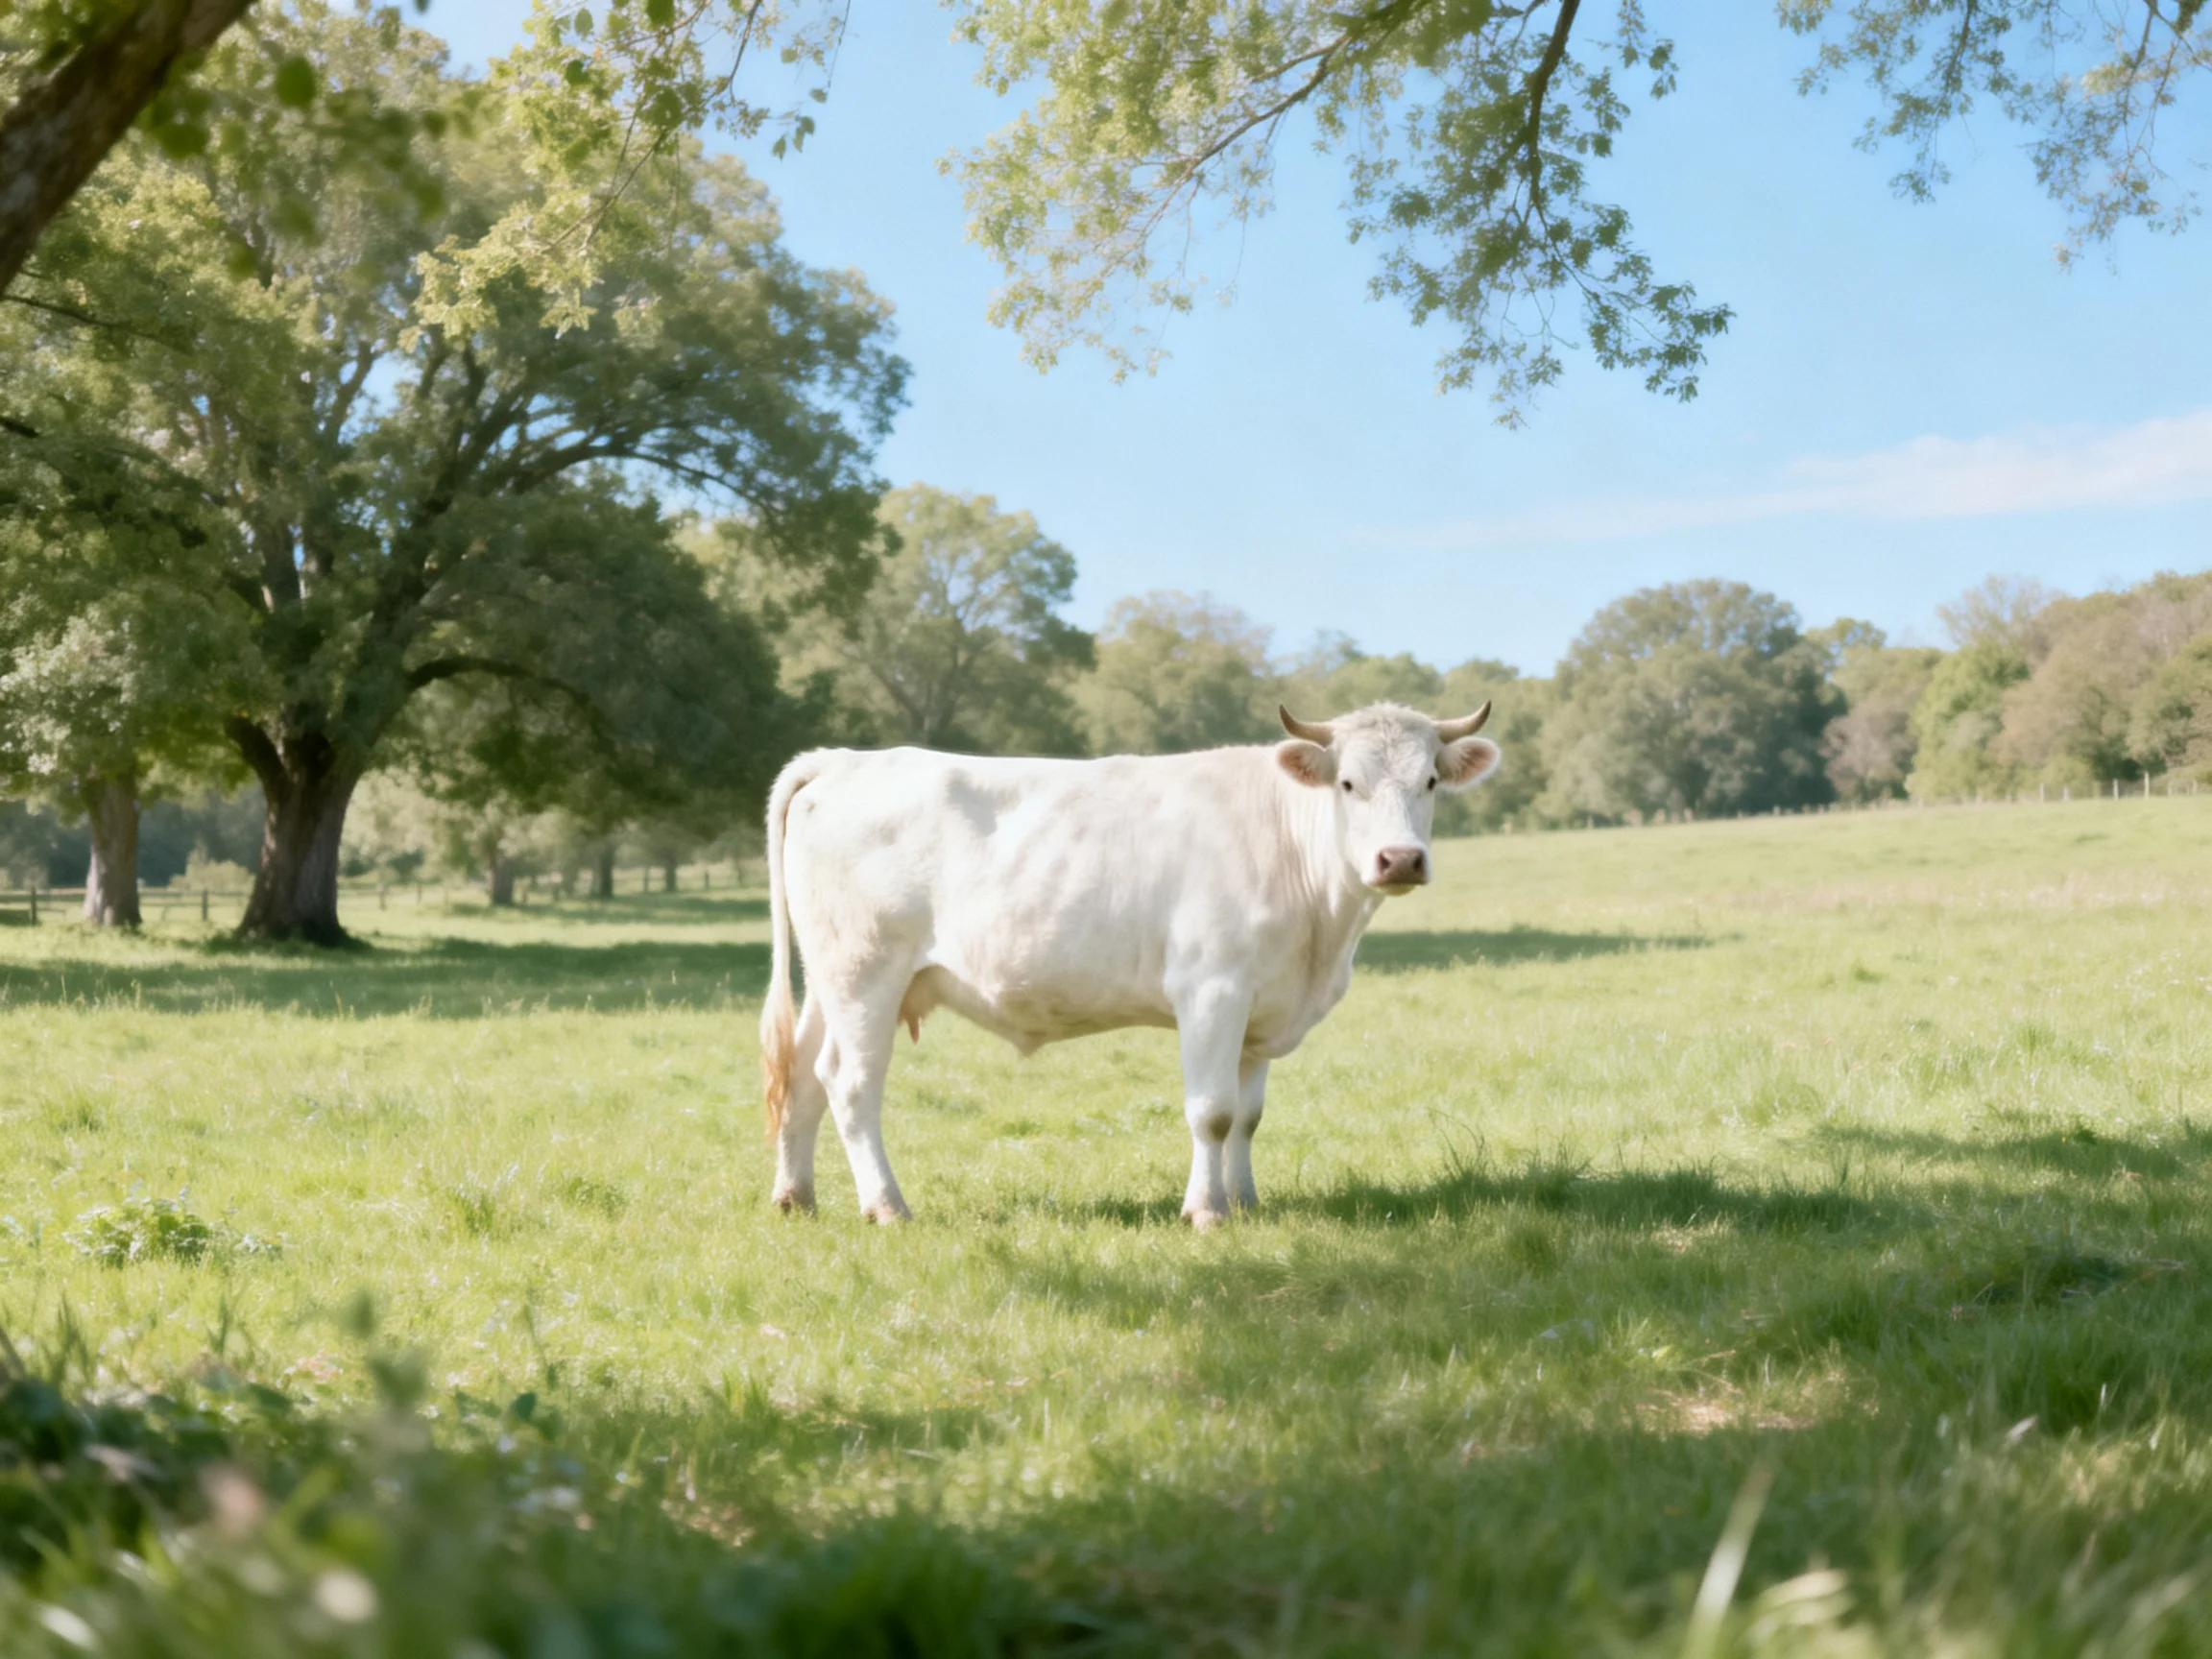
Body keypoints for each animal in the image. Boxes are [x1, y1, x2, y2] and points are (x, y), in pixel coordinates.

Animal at [757, 701, 1501, 1228]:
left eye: (1431, 780)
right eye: (1348, 783)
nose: (1400, 859)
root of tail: (843, 761)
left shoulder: (1261, 1008)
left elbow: (1249, 1115)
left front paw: (1247, 1203)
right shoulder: (1211, 989)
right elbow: (1212, 1112)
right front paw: (1205, 1211)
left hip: (831, 980)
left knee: (804, 1078)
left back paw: (797, 1198)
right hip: (866, 973)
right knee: (850, 1084)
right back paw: (886, 1207)